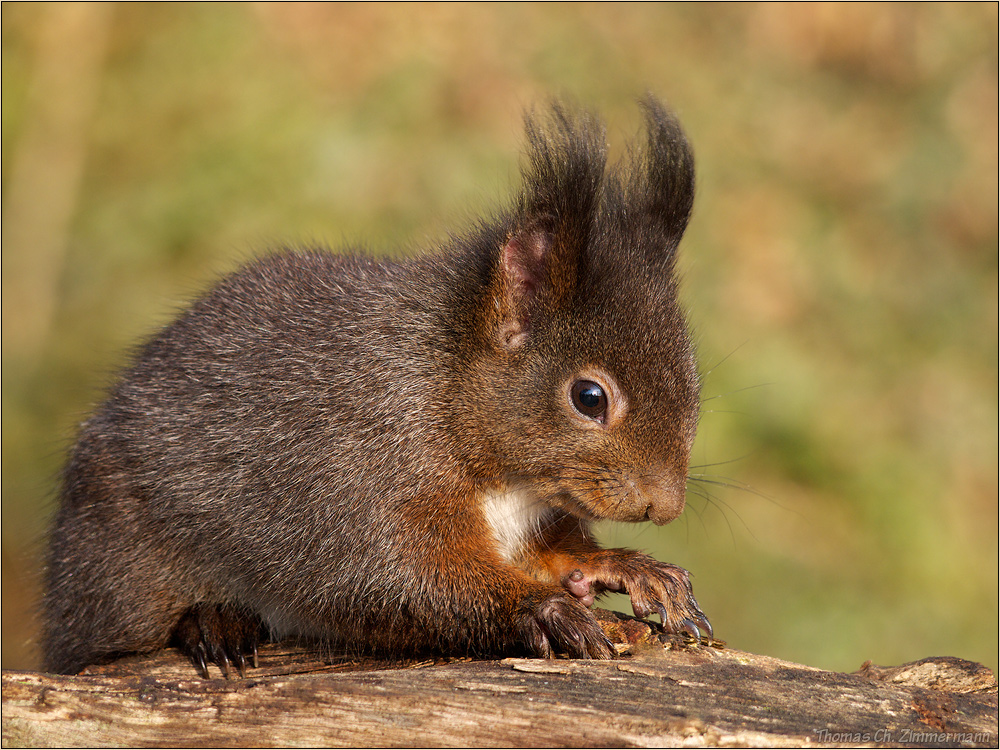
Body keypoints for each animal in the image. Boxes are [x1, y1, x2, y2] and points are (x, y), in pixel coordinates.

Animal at [39, 97, 712, 680]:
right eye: (589, 397)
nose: (664, 506)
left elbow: (553, 554)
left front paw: (626, 568)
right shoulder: (358, 473)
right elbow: (398, 576)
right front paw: (541, 610)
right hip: (115, 568)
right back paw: (211, 622)